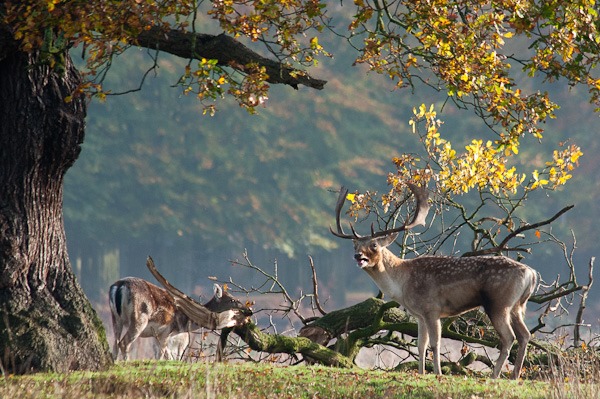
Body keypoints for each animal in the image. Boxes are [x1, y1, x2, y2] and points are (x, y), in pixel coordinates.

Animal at [109, 276, 247, 360]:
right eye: (232, 300)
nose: (248, 310)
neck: (183, 323)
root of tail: (119, 286)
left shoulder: (157, 335)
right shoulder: (166, 331)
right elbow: (162, 355)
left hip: (115, 318)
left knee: (115, 344)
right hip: (139, 318)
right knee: (124, 343)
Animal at [330, 183, 536, 380]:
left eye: (374, 245)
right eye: (355, 245)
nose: (358, 256)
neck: (403, 283)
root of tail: (531, 273)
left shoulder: (432, 309)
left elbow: (435, 343)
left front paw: (437, 373)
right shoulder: (420, 315)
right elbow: (421, 345)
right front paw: (421, 373)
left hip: (499, 303)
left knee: (509, 337)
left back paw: (495, 375)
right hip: (517, 306)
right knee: (525, 335)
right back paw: (514, 376)